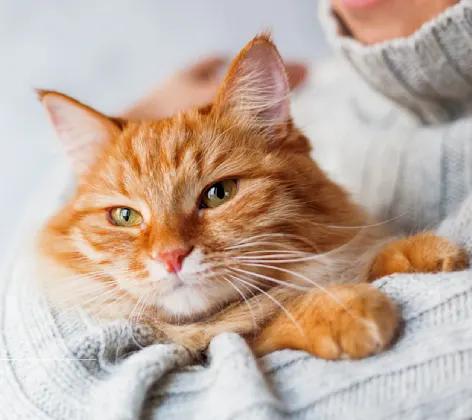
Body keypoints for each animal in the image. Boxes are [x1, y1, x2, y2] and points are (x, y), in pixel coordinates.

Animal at [34, 34, 468, 360]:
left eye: (219, 194)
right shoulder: (222, 343)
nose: (170, 257)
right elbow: (270, 321)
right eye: (125, 217)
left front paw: (417, 253)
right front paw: (342, 309)